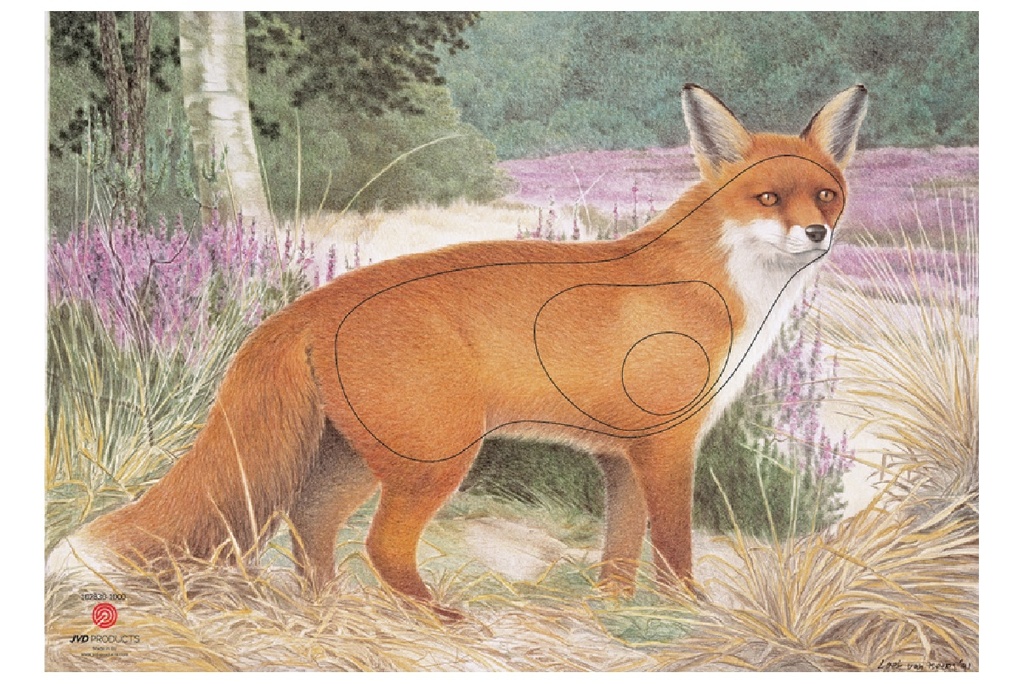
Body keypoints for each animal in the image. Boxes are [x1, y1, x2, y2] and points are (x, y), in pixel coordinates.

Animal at [48, 84, 867, 618]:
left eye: (825, 195)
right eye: (768, 198)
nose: (818, 234)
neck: (719, 286)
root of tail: (311, 303)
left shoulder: (622, 454)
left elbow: (619, 550)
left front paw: (618, 610)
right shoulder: (667, 445)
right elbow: (673, 544)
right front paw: (688, 610)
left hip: (358, 461)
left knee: (309, 525)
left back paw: (328, 608)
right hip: (437, 460)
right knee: (380, 545)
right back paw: (432, 615)